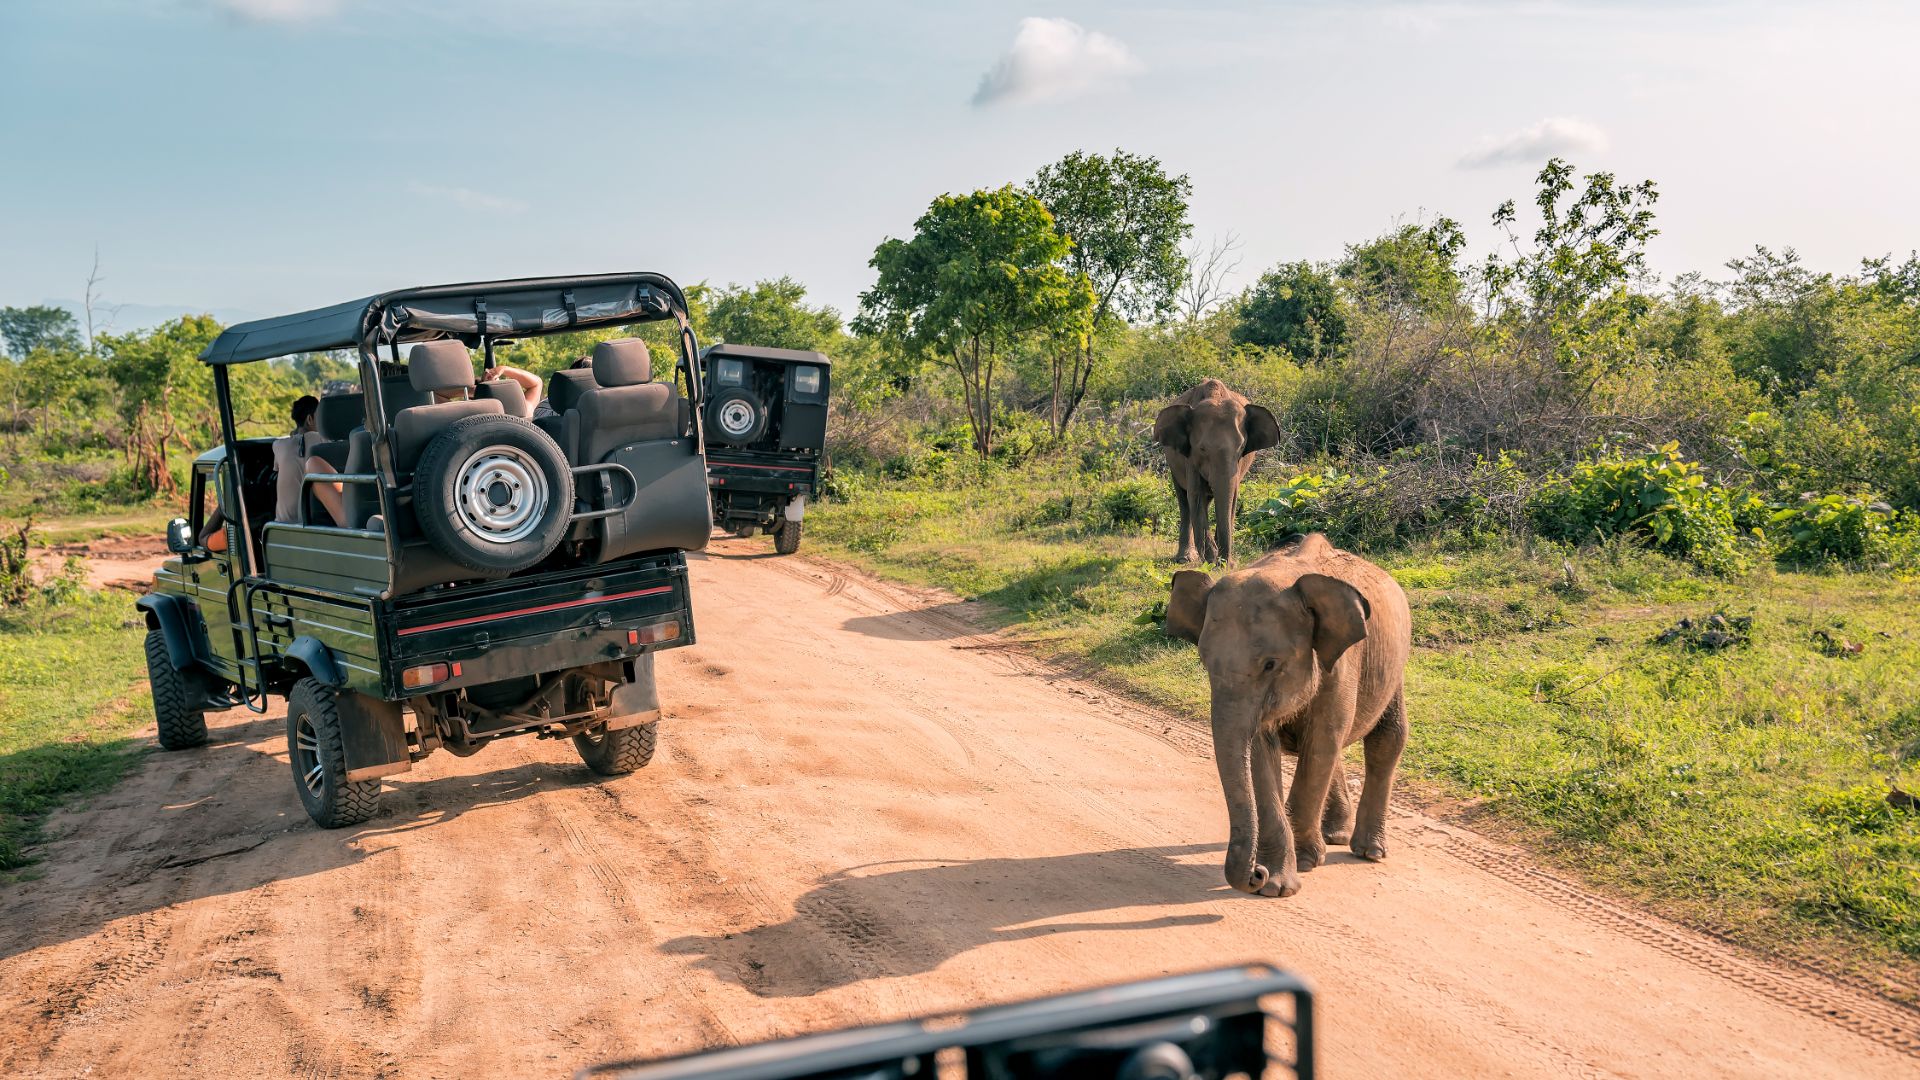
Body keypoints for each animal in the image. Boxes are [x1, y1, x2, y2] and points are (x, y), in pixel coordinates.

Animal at [1144, 376, 1282, 564]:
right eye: (1202, 449)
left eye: (1241, 448)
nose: (1225, 562)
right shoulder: (1190, 457)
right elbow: (1195, 496)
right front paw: (1211, 559)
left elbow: (1231, 497)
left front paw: (1223, 562)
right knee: (1184, 501)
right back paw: (1186, 558)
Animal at [1159, 534, 1420, 895]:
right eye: (1205, 662)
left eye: (1271, 664)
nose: (1255, 873)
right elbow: (1261, 751)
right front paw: (1277, 883)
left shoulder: (1341, 665)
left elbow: (1321, 743)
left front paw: (1306, 862)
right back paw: (1335, 835)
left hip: (1394, 666)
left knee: (1386, 739)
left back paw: (1368, 851)